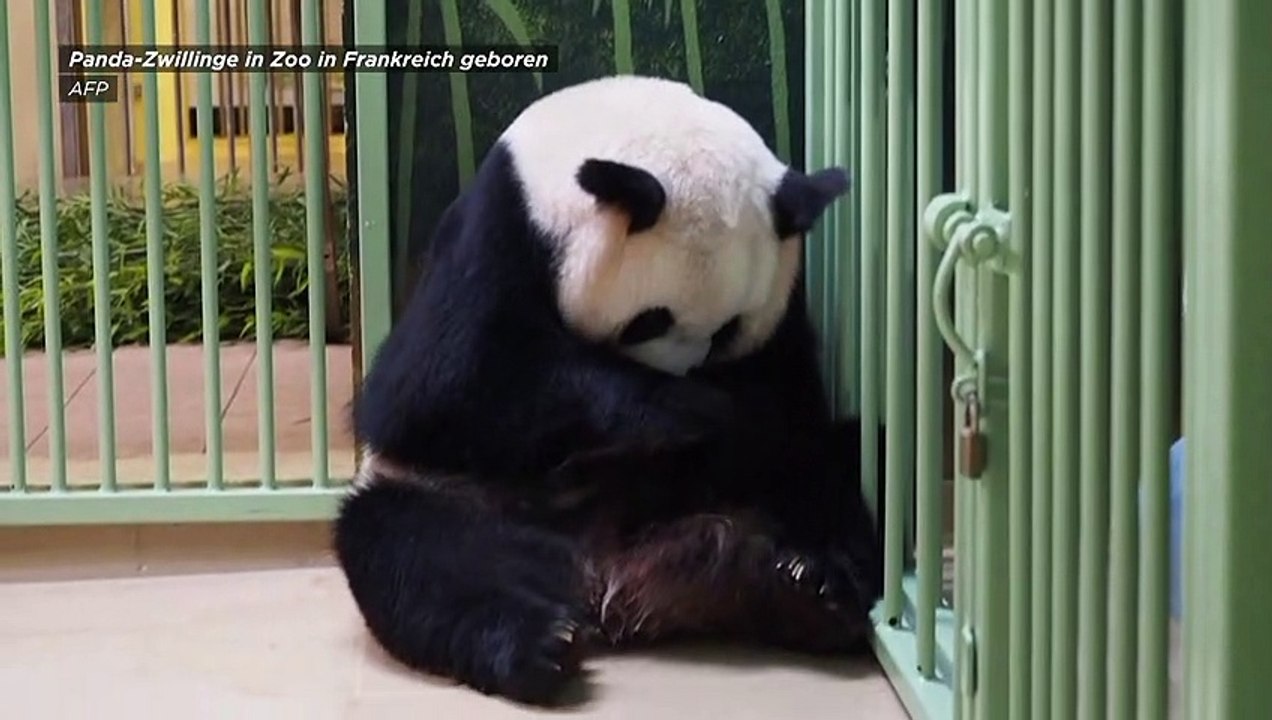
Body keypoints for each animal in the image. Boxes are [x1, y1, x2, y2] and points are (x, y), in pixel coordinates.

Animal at [334, 75, 885, 707]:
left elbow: (790, 406)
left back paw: (809, 587)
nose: (683, 376)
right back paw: (538, 645)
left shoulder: (784, 300)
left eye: (728, 330)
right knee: (420, 554)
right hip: (465, 501)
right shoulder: (498, 234)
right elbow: (439, 389)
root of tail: (609, 578)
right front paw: (687, 410)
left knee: (834, 465)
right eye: (649, 321)